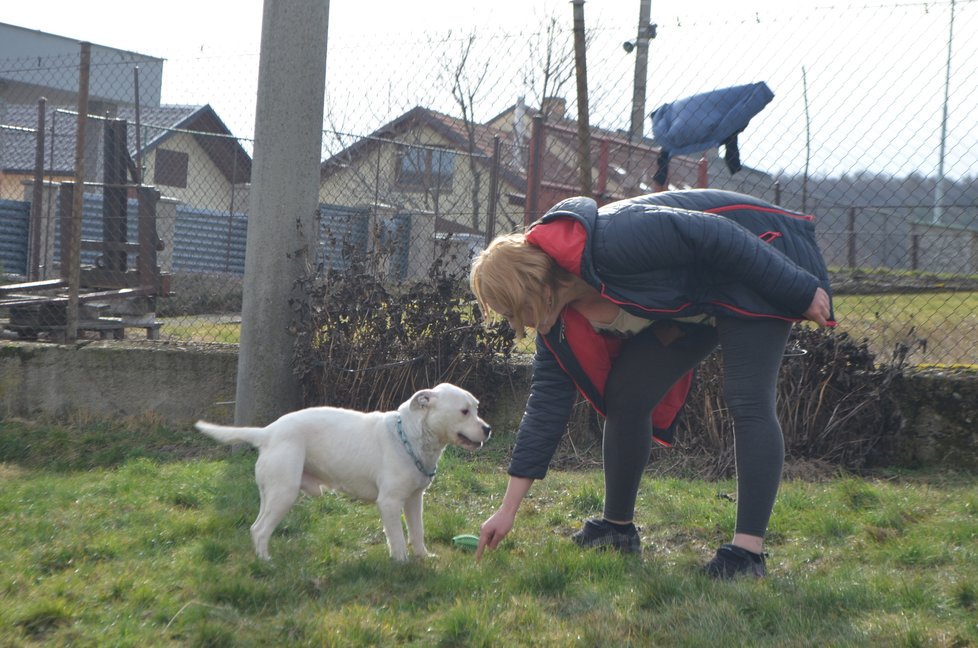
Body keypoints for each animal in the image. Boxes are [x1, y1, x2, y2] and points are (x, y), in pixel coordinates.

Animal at [194, 382, 488, 560]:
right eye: (464, 411)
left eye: (476, 408)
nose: (488, 428)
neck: (410, 437)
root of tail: (268, 432)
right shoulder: (390, 503)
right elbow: (397, 538)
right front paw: (402, 563)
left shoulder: (415, 500)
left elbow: (417, 532)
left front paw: (423, 557)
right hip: (284, 494)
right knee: (260, 529)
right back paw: (267, 562)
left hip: (272, 493)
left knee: (256, 526)